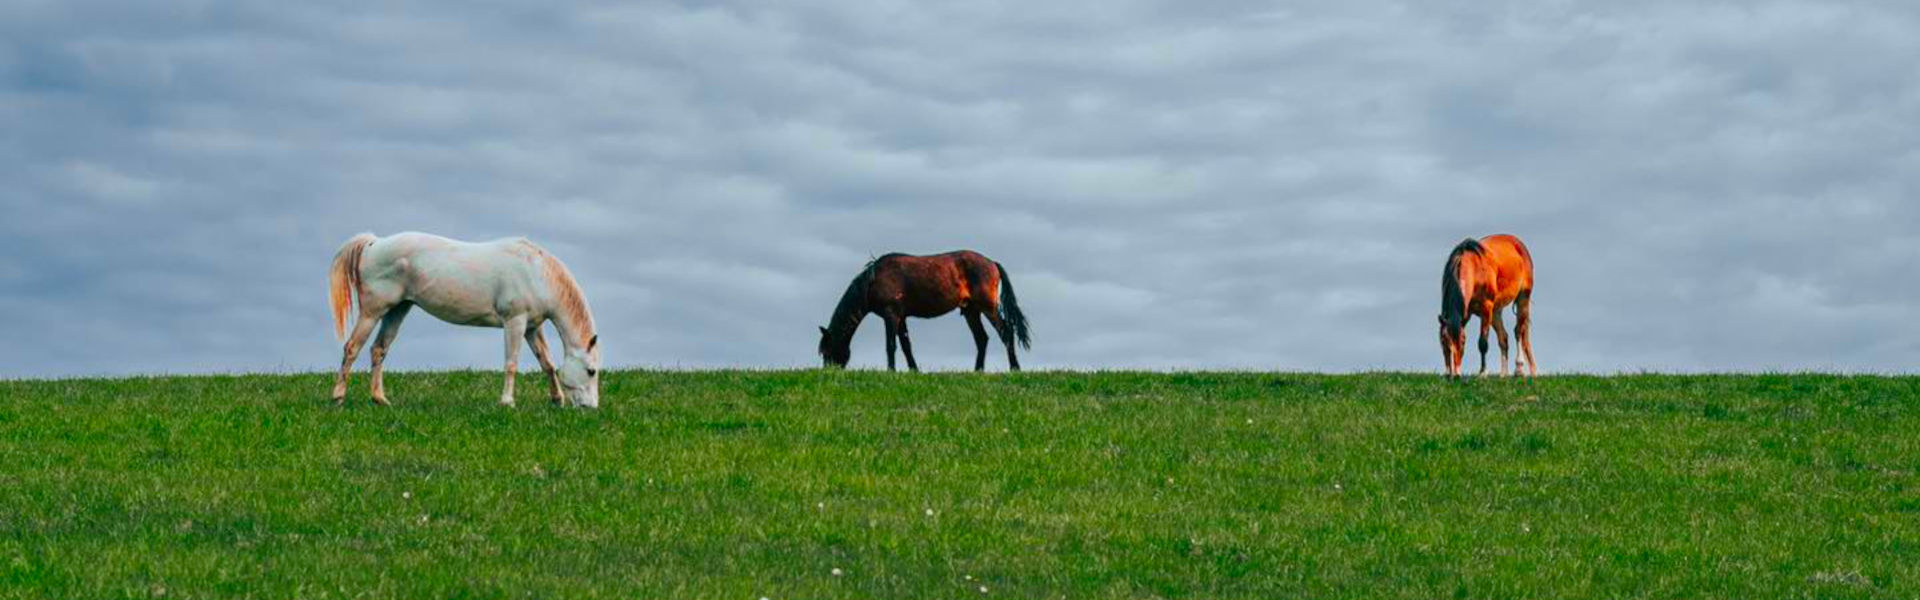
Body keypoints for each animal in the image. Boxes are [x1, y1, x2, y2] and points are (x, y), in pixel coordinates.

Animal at [328, 232, 602, 407]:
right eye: (591, 371)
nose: (591, 407)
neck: (535, 271)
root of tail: (374, 243)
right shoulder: (514, 321)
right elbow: (511, 363)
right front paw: (507, 402)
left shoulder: (532, 327)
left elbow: (547, 362)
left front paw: (557, 399)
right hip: (372, 312)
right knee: (352, 348)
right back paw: (338, 396)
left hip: (398, 310)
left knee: (379, 349)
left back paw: (380, 399)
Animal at [818, 251, 1031, 372]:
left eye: (827, 351)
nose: (829, 373)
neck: (873, 280)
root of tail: (992, 262)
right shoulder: (901, 317)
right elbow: (906, 346)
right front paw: (913, 370)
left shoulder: (891, 315)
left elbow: (891, 345)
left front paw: (891, 371)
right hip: (971, 311)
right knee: (981, 339)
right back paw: (978, 370)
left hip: (988, 307)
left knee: (1006, 332)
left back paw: (1014, 367)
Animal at [1438, 234, 1536, 379]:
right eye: (1443, 341)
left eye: (1463, 341)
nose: (1455, 375)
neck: (1474, 270)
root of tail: (1517, 243)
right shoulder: (1468, 313)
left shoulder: (1486, 309)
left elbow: (1483, 342)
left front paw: (1483, 372)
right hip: (1495, 311)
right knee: (1503, 338)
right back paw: (1503, 374)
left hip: (1523, 298)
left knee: (1518, 331)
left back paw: (1519, 369)